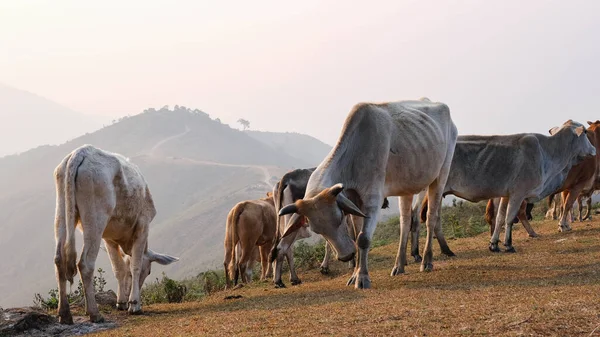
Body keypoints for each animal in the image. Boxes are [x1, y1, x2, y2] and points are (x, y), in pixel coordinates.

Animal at [53, 144, 178, 322]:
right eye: (148, 271)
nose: (128, 298)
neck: (125, 242)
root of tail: (81, 152)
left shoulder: (109, 238)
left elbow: (119, 268)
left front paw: (121, 302)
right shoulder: (143, 224)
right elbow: (135, 265)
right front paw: (134, 305)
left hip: (61, 210)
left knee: (59, 259)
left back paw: (64, 314)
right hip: (95, 217)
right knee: (85, 263)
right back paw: (94, 313)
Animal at [278, 98, 458, 288]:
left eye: (339, 218)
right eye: (316, 229)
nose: (345, 256)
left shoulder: (373, 200)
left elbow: (363, 239)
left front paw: (362, 277)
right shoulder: (355, 203)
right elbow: (357, 236)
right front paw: (354, 275)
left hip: (440, 175)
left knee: (431, 217)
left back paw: (427, 261)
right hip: (407, 186)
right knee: (405, 222)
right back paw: (399, 265)